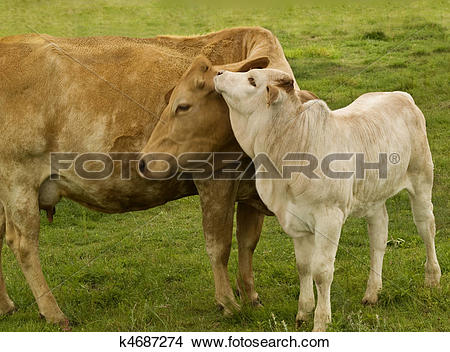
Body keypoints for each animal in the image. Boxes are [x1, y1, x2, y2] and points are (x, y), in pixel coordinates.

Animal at [0, 27, 302, 328]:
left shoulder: (252, 188)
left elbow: (248, 242)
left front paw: (252, 297)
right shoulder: (216, 179)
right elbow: (219, 244)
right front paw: (227, 303)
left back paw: (6, 306)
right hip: (18, 180)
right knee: (24, 244)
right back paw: (53, 313)